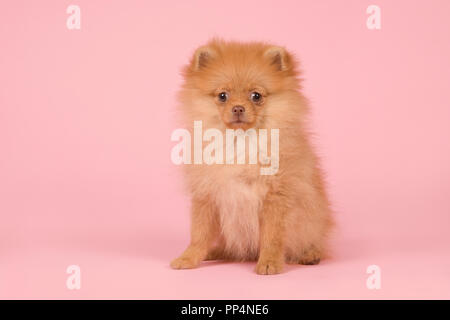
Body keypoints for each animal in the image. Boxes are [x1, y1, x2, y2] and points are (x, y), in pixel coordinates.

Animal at [171, 39, 332, 276]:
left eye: (256, 96)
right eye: (222, 96)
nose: (238, 108)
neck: (240, 142)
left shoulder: (275, 197)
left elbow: (272, 237)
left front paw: (269, 262)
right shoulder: (206, 195)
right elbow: (199, 234)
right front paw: (188, 258)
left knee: (313, 241)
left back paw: (310, 255)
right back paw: (215, 251)